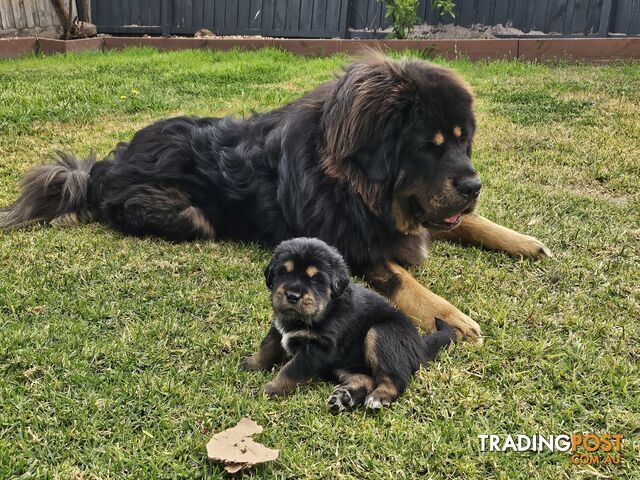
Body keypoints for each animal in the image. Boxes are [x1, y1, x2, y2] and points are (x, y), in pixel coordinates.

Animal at [0, 53, 552, 342]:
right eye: (429, 146)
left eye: (463, 142)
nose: (473, 185)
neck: (351, 183)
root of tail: (103, 167)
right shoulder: (350, 249)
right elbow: (403, 281)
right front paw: (450, 315)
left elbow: (468, 223)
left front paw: (522, 240)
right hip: (187, 215)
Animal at [240, 238, 456, 410]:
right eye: (283, 272)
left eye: (316, 279)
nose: (292, 296)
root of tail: (419, 344)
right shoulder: (278, 330)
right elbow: (267, 347)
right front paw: (251, 364)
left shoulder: (317, 349)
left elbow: (291, 370)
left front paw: (269, 389)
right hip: (346, 364)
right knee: (366, 379)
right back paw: (343, 398)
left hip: (381, 333)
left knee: (395, 379)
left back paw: (378, 397)